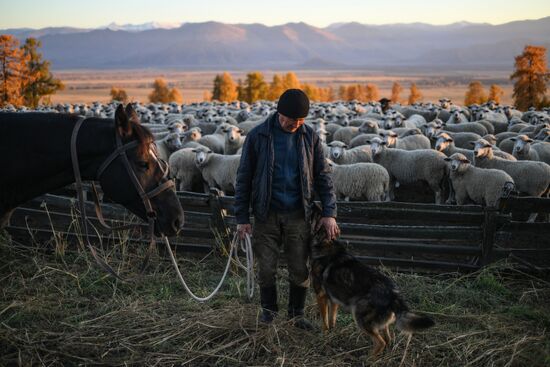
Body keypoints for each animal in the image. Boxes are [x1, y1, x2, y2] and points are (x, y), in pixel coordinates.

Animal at [310, 204, 436, 356]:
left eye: (318, 214)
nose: (314, 203)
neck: (326, 243)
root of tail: (394, 295)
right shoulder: (334, 299)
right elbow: (332, 318)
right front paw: (331, 332)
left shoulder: (320, 295)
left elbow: (324, 320)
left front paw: (323, 334)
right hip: (381, 323)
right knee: (388, 339)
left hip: (361, 318)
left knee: (380, 342)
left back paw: (367, 358)